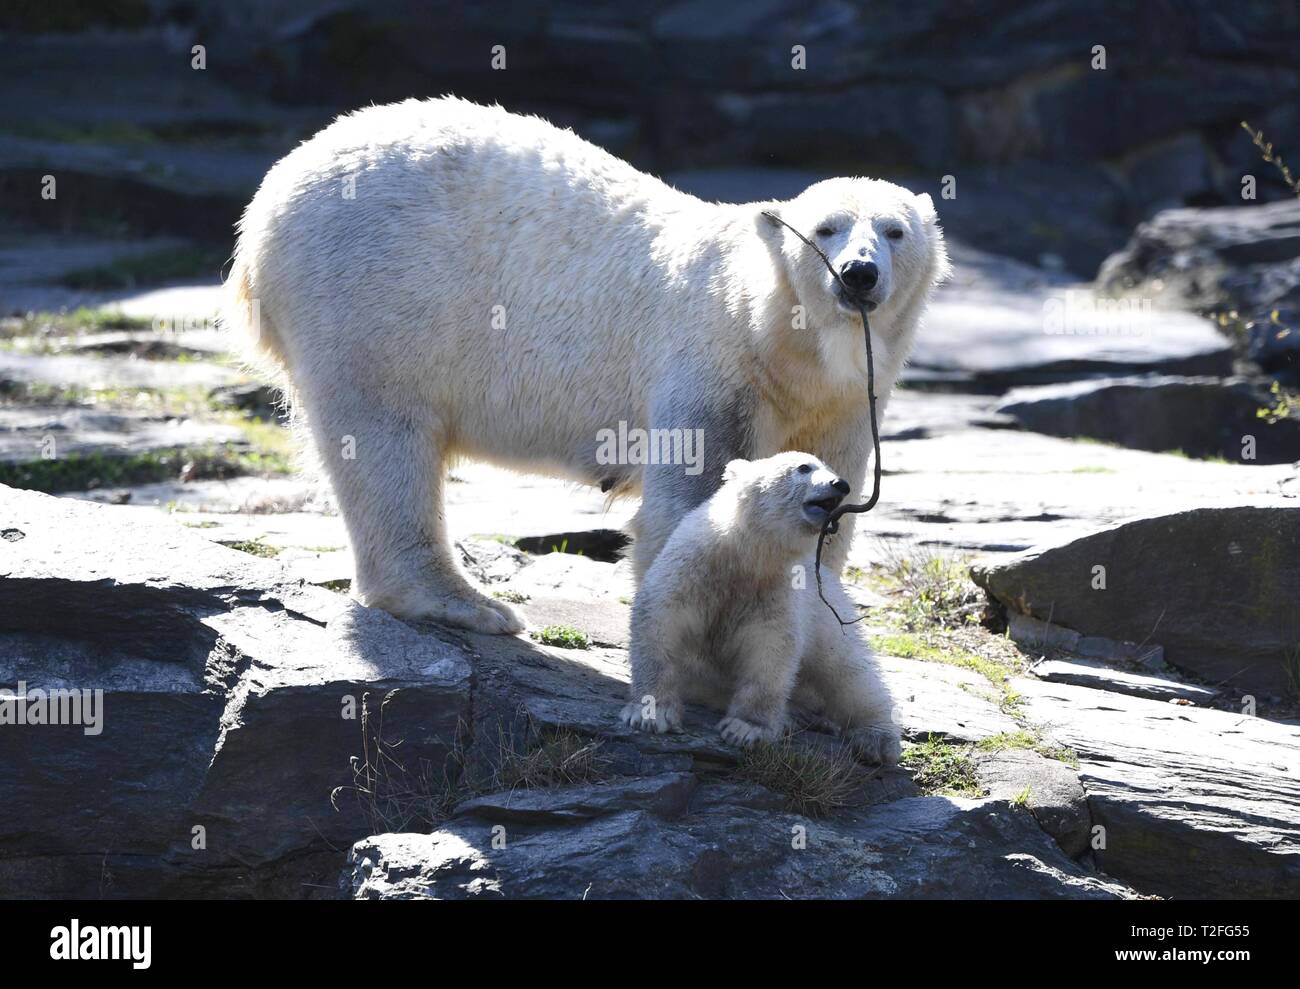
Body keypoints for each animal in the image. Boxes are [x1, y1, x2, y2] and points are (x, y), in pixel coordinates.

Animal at [228, 94, 951, 631]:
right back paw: (467, 604)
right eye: (827, 228)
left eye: (894, 231)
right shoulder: (710, 363)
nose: (858, 273)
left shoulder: (840, 402)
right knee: (385, 437)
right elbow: (690, 499)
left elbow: (829, 502)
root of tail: (266, 203)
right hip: (373, 294)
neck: (777, 336)